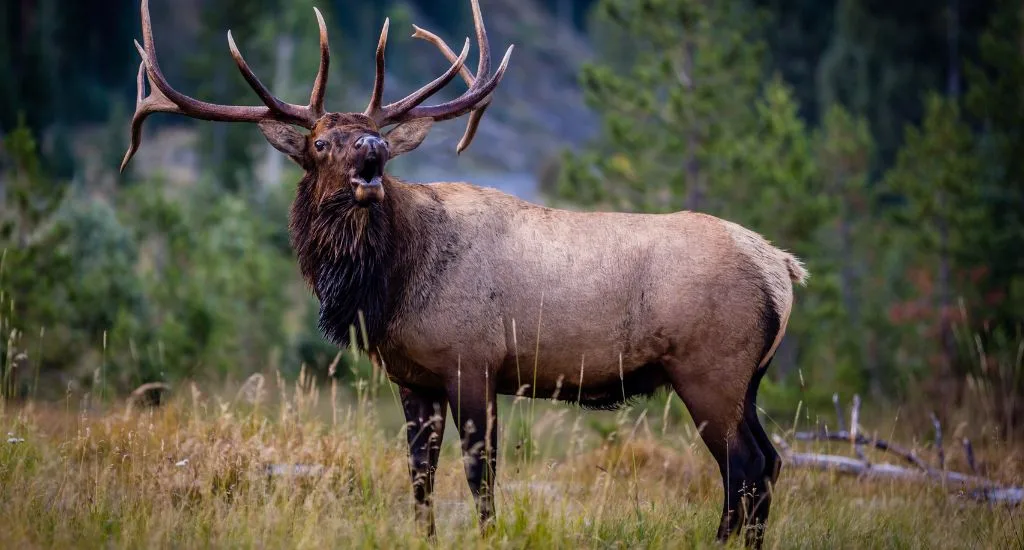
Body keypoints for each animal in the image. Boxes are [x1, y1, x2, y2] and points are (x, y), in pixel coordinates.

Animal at [119, 0, 806, 544]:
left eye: (371, 136)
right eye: (319, 142)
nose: (373, 151)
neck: (391, 286)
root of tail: (782, 266)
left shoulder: (472, 361)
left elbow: (480, 473)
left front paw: (487, 533)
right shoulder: (412, 377)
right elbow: (420, 474)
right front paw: (423, 535)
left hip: (710, 369)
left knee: (744, 468)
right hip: (745, 380)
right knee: (767, 464)